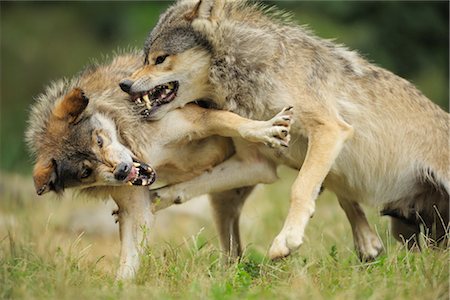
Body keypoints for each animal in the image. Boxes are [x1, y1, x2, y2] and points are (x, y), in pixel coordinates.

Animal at [25, 51, 292, 278]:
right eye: (85, 171)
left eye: (99, 141)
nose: (122, 172)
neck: (144, 149)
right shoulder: (135, 210)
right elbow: (127, 263)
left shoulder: (199, 120)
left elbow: (238, 123)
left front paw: (266, 129)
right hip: (223, 201)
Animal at [120, 0, 450, 260]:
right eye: (145, 58)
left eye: (160, 59)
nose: (123, 84)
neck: (248, 72)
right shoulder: (256, 164)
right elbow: (188, 186)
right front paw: (156, 197)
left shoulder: (330, 130)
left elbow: (300, 188)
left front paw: (286, 240)